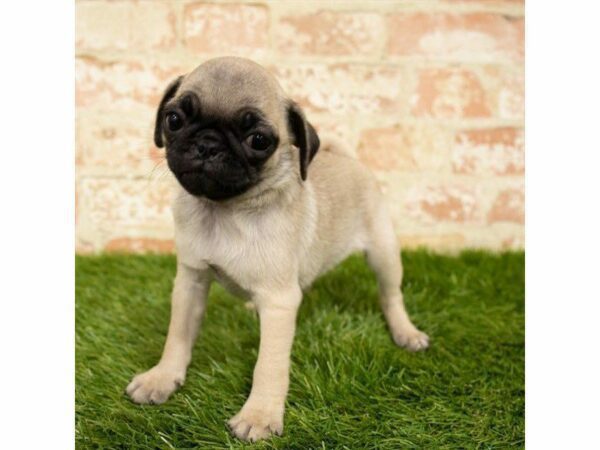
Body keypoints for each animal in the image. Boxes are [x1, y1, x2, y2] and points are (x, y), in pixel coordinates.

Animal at [125, 57, 426, 442]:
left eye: (258, 140)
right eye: (174, 119)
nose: (207, 144)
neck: (225, 210)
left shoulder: (280, 302)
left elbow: (268, 365)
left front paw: (259, 415)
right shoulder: (191, 281)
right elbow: (177, 336)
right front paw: (162, 378)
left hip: (383, 252)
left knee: (391, 295)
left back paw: (405, 332)